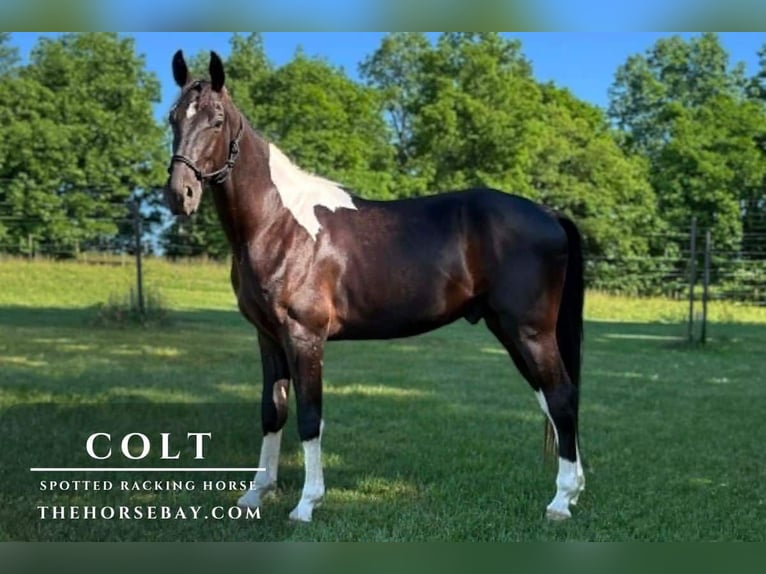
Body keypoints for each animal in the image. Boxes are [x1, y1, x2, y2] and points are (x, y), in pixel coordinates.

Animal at [165, 50, 586, 522]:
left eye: (216, 120)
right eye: (173, 117)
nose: (180, 194)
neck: (278, 223)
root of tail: (549, 214)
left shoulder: (304, 337)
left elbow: (310, 417)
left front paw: (307, 503)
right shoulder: (268, 338)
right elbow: (272, 412)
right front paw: (257, 493)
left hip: (530, 331)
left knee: (561, 397)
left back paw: (560, 501)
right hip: (509, 329)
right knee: (550, 399)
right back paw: (571, 492)